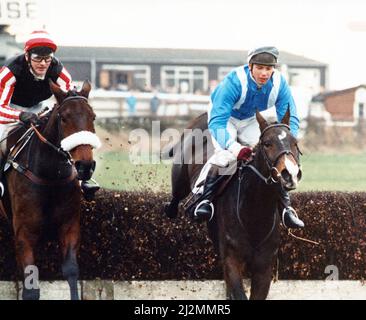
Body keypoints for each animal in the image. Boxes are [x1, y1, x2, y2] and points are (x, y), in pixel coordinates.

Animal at [1, 80, 100, 300]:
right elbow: (31, 289)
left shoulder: (70, 226)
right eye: (63, 118)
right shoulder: (24, 233)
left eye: (93, 116)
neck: (49, 177)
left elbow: (71, 272)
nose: (85, 166)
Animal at [164, 110, 302, 300]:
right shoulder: (232, 260)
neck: (254, 214)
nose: (290, 174)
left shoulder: (264, 266)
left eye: (295, 143)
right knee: (177, 196)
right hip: (180, 178)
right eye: (267, 144)